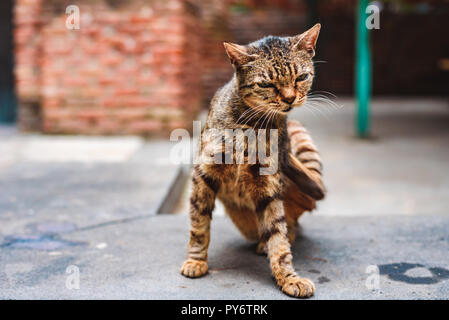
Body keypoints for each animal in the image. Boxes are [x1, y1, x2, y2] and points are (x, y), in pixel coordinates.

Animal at [180, 24, 324, 298]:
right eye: (266, 83)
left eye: (301, 77)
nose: (290, 98)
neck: (251, 126)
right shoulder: (204, 173)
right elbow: (198, 224)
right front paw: (195, 260)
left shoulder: (268, 187)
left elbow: (278, 235)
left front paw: (288, 278)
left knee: (292, 226)